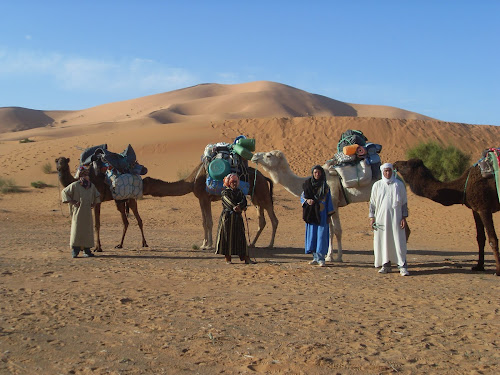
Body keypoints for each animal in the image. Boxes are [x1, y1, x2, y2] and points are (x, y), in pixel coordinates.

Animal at [143, 164, 280, 250]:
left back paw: (270, 245)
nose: (140, 190)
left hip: (263, 193)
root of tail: (264, 177)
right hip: (256, 197)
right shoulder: (201, 199)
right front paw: (203, 244)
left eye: (144, 182)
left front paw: (209, 245)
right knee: (262, 221)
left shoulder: (205, 198)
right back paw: (252, 244)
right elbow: (204, 222)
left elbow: (209, 222)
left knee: (274, 219)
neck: (192, 181)